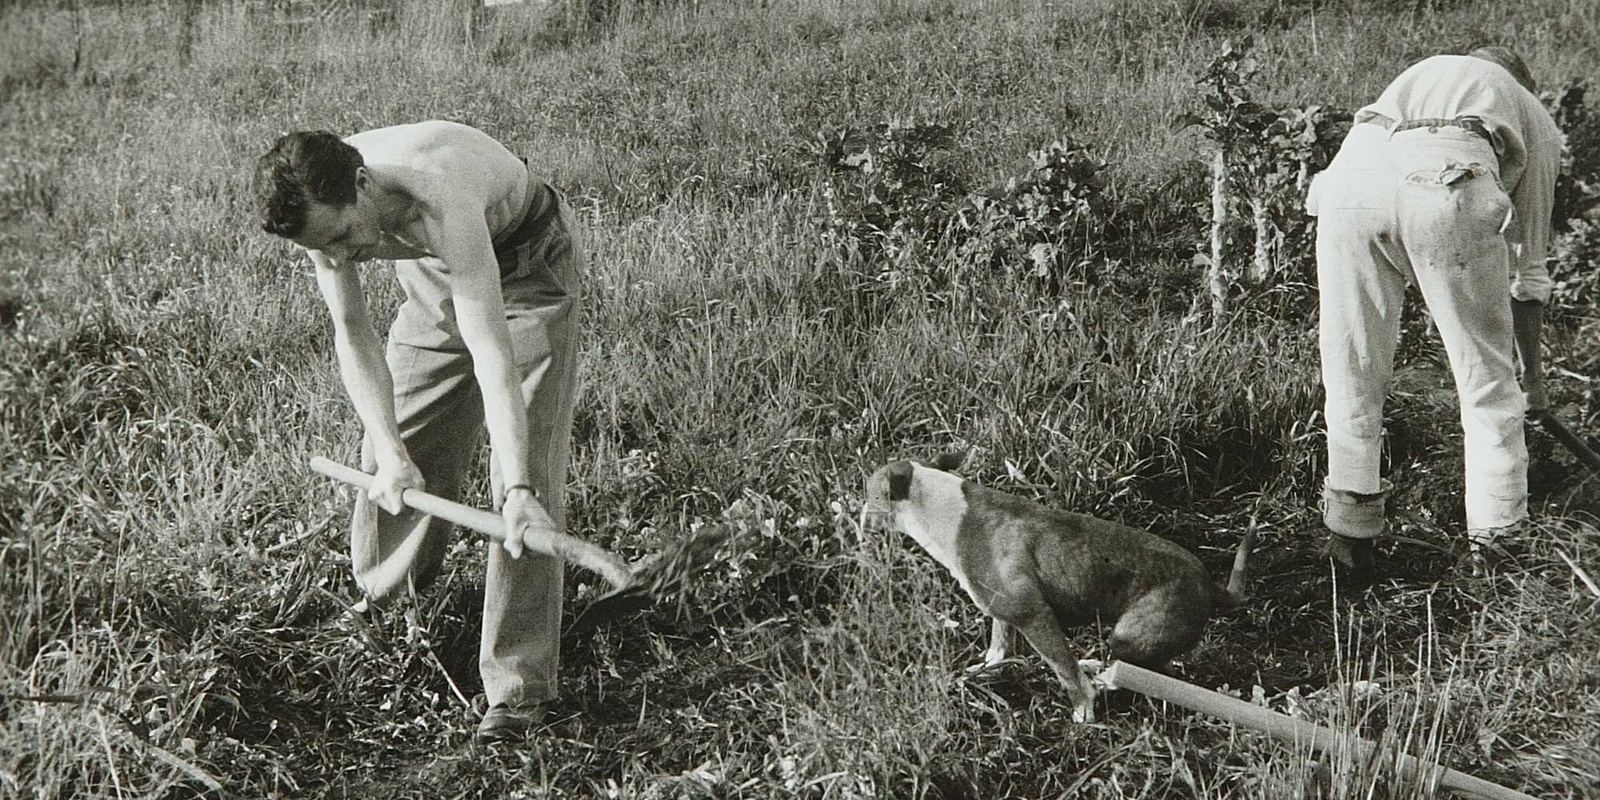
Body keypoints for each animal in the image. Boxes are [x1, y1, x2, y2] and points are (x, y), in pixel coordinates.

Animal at [864, 454, 1248, 723]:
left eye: (870, 496)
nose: (859, 518)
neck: (943, 508)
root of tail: (1211, 585)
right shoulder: (1003, 612)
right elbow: (997, 648)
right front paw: (983, 671)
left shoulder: (1035, 617)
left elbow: (1066, 671)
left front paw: (1083, 711)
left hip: (1129, 636)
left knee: (1140, 672)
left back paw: (1100, 677)